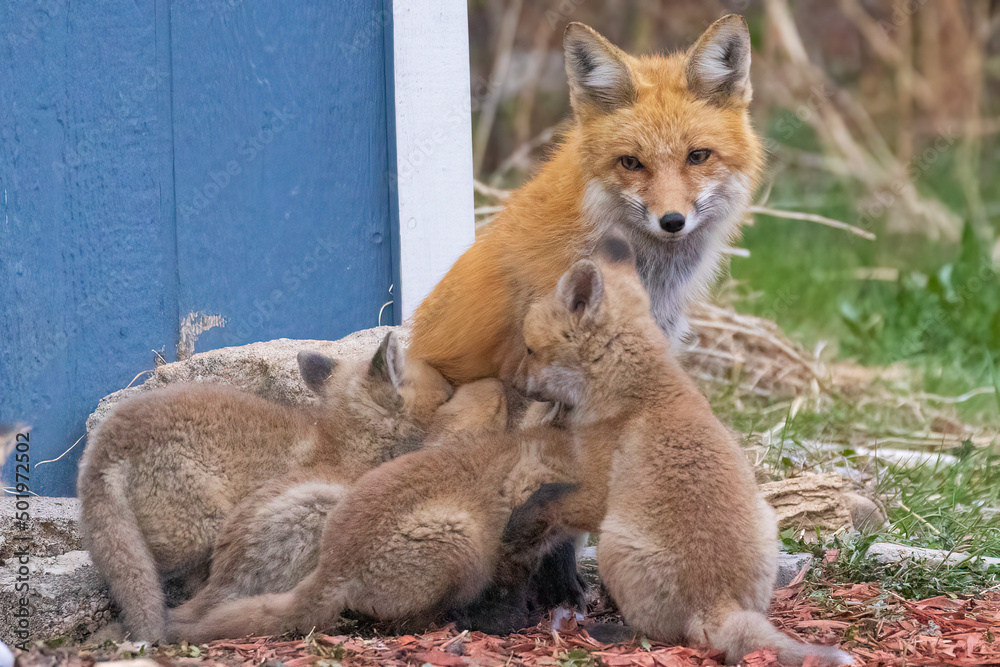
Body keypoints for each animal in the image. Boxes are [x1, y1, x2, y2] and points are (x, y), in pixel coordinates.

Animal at [167, 380, 585, 644]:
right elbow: (511, 586)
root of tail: (333, 570)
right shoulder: (514, 544)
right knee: (407, 623)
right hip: (456, 543)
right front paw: (515, 618)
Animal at [515, 235, 851, 666]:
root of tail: (717, 604)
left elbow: (545, 499)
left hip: (612, 545)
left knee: (658, 634)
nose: (515, 386)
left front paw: (520, 523)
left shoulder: (597, 492)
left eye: (529, 350)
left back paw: (609, 631)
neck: (635, 392)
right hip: (767, 524)